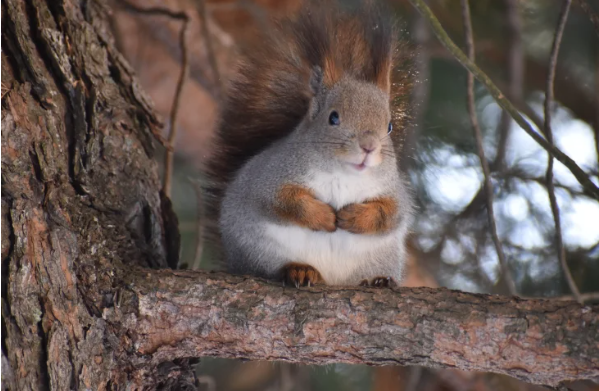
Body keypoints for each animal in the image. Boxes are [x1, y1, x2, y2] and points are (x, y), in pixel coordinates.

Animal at [204, 1, 414, 290]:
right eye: (333, 117)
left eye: (390, 126)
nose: (369, 147)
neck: (344, 174)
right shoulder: (270, 179)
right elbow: (283, 202)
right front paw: (324, 216)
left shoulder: (392, 190)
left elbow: (392, 215)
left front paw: (354, 217)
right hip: (260, 252)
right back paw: (299, 270)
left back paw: (378, 280)